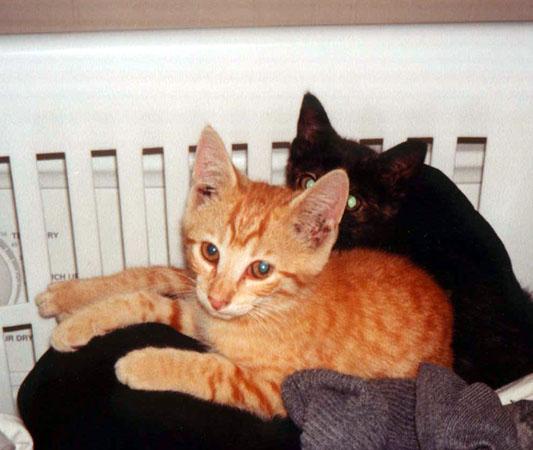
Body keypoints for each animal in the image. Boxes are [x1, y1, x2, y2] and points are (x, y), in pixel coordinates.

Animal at [37, 125, 450, 418]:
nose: (218, 299)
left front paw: (142, 362)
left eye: (261, 269)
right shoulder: (201, 312)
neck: (276, 309)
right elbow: (146, 297)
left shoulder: (276, 387)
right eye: (210, 251)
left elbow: (212, 371)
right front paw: (75, 320)